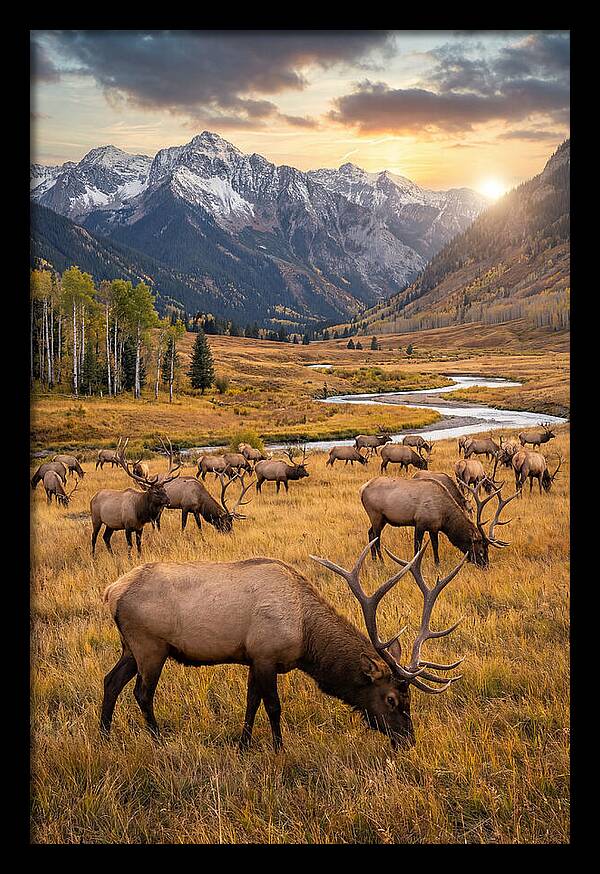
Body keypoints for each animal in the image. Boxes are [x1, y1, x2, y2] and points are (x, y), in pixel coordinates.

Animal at [100, 538, 465, 751]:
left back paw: (104, 735)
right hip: (150, 645)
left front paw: (244, 745)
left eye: (409, 699)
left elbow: (251, 702)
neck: (306, 637)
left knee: (110, 681)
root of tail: (111, 592)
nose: (408, 740)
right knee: (142, 693)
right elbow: (273, 706)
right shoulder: (265, 654)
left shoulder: (252, 657)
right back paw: (157, 738)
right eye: (391, 699)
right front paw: (279, 747)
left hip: (129, 647)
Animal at [360, 475, 517, 567]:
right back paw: (381, 561)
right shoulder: (420, 523)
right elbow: (417, 547)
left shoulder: (434, 527)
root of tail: (362, 489)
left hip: (381, 519)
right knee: (376, 537)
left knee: (370, 533)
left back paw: (374, 560)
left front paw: (437, 564)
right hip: (376, 515)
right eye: (481, 549)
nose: (486, 566)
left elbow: (435, 545)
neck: (444, 517)